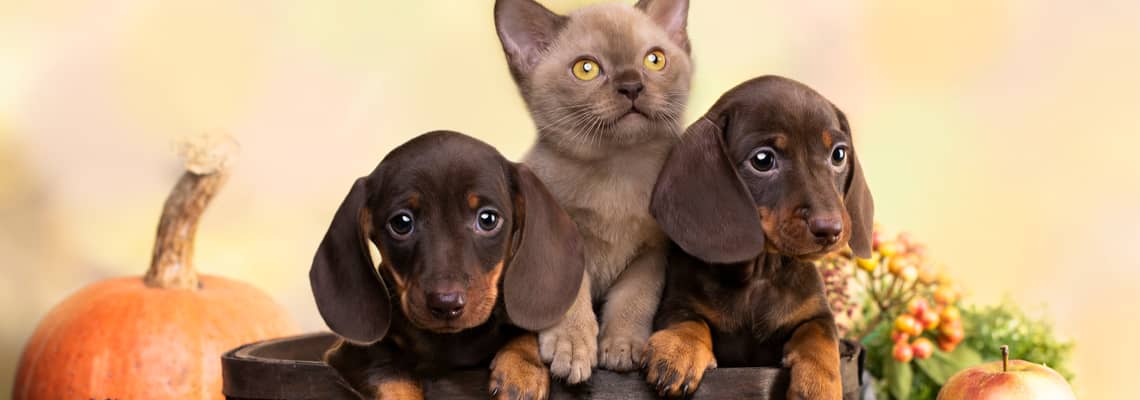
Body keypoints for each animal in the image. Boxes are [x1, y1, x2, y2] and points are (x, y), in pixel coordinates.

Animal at [310, 131, 583, 398]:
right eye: (401, 223)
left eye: (488, 218)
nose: (446, 304)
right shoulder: (350, 354)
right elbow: (390, 373)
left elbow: (525, 331)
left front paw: (521, 370)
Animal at [494, 0, 688, 385]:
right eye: (586, 69)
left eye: (654, 60)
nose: (632, 86)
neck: (617, 173)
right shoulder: (558, 247)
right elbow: (571, 298)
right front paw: (572, 349)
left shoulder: (651, 253)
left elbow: (633, 300)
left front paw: (623, 347)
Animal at [642, 76, 870, 398]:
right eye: (763, 160)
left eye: (838, 154)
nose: (830, 228)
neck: (760, 273)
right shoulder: (676, 301)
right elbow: (687, 318)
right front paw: (679, 349)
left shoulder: (816, 313)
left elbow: (820, 334)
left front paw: (818, 383)